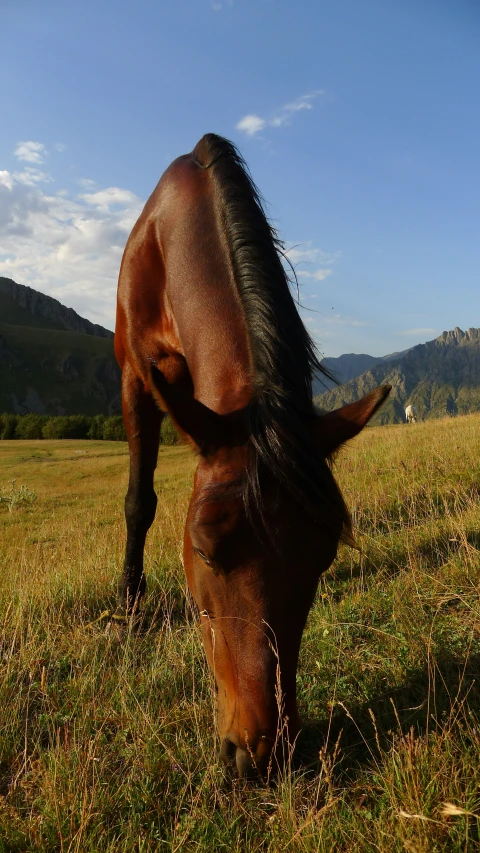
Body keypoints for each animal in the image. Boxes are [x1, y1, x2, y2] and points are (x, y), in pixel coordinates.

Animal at [114, 131, 392, 772]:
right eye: (203, 550)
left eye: (322, 557)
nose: (262, 753)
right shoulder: (136, 379)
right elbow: (140, 500)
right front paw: (129, 606)